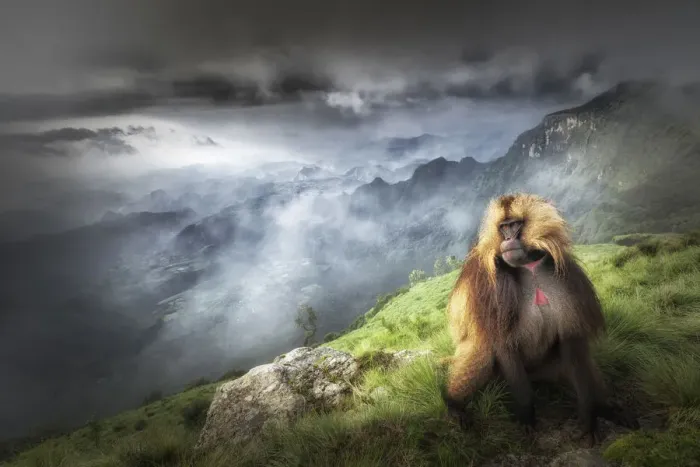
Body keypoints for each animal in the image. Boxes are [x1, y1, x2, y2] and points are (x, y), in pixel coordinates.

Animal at [443, 193, 637, 446]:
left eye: (515, 225)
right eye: (503, 227)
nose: (507, 239)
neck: (530, 268)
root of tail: (537, 378)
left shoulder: (563, 277)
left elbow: (572, 344)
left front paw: (589, 418)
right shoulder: (490, 288)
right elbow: (502, 344)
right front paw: (527, 417)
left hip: (550, 370)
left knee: (582, 363)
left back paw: (608, 409)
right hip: (503, 378)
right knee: (482, 350)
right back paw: (454, 405)